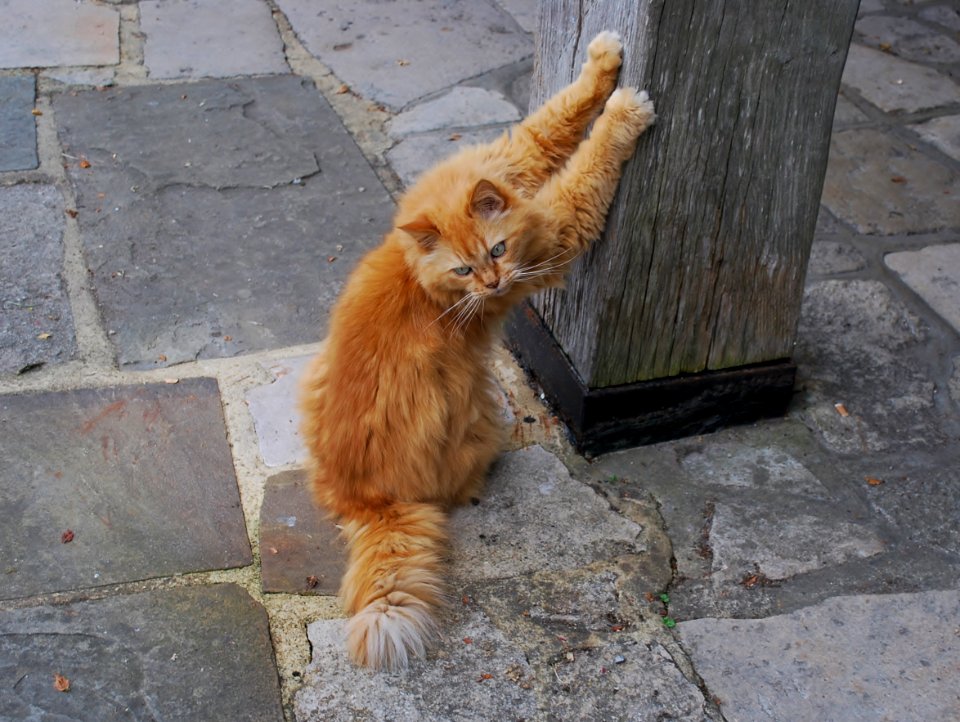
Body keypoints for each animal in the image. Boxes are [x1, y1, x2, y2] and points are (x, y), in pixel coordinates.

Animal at [304, 29, 656, 668]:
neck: (417, 275)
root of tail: (364, 498)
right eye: (465, 269)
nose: (492, 286)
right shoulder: (560, 230)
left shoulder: (512, 156)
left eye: (495, 250)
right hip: (477, 411)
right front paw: (624, 110)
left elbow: (555, 120)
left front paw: (602, 65)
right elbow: (589, 162)